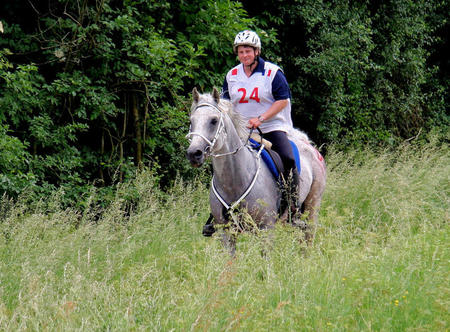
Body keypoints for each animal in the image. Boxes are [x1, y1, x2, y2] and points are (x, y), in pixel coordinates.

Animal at [185, 88, 326, 252]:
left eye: (214, 120)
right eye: (191, 121)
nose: (194, 153)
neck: (234, 181)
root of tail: (308, 145)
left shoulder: (266, 230)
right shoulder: (226, 233)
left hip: (312, 207)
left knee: (308, 241)